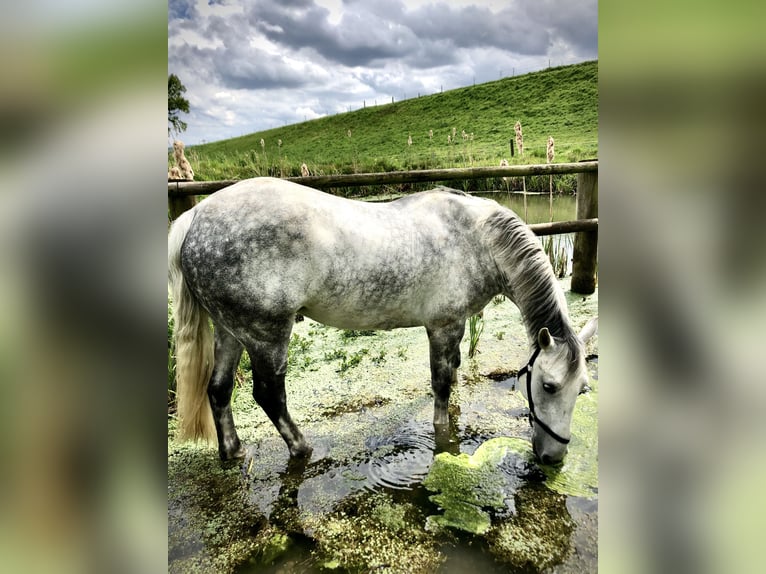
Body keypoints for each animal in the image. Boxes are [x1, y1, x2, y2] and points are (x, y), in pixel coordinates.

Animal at [168, 177, 593, 465]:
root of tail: (196, 217)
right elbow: (441, 383)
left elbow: (454, 371)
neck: (478, 238)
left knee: (219, 390)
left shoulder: (454, 328)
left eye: (583, 388)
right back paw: (302, 448)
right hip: (267, 335)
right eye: (550, 386)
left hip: (230, 331)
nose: (554, 458)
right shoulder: (444, 326)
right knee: (269, 395)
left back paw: (234, 451)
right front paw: (442, 431)